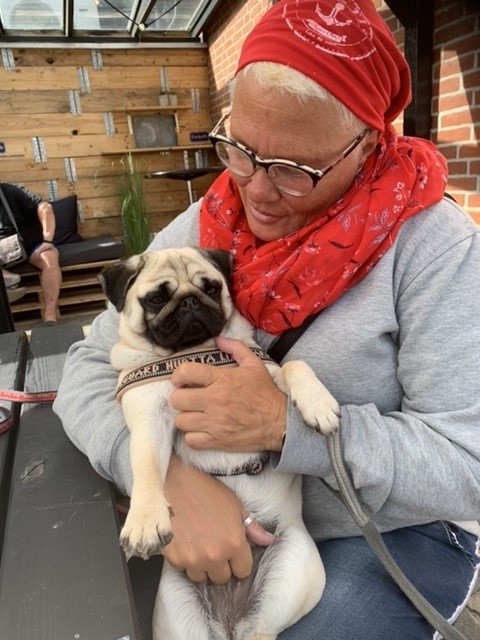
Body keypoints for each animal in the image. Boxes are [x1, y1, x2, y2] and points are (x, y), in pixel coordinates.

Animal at [100, 247, 340, 640]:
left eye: (210, 288)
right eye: (156, 299)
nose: (190, 303)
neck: (196, 354)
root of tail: (233, 622)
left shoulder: (265, 374)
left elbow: (295, 366)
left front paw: (318, 404)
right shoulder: (150, 418)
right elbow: (147, 466)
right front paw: (146, 520)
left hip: (294, 565)